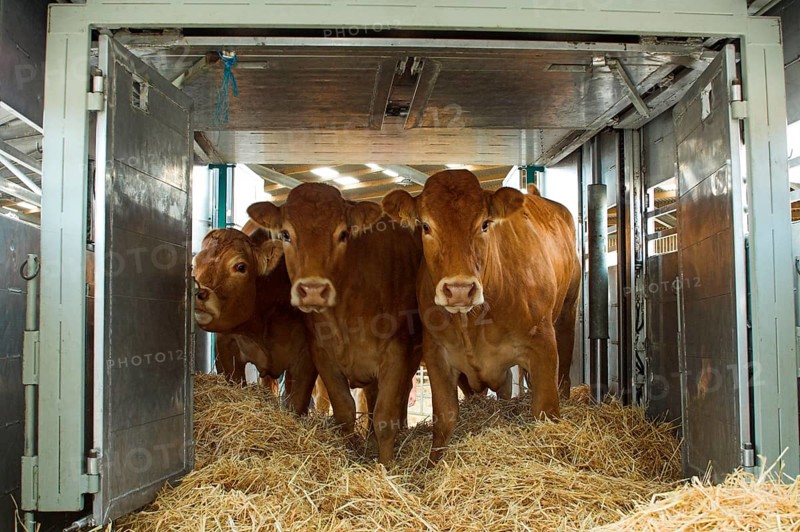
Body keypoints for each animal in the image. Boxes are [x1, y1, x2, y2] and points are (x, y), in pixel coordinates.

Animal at [193, 224, 317, 415]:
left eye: (240, 266)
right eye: (194, 263)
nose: (198, 292)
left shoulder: (305, 361)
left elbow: (296, 404)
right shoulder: (226, 347)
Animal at [248, 183, 422, 465]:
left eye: (343, 234)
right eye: (286, 234)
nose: (313, 289)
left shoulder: (396, 352)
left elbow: (385, 417)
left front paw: (387, 466)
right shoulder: (322, 354)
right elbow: (344, 412)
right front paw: (352, 454)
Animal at [383, 169, 581, 463]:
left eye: (485, 224)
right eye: (425, 226)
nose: (460, 289)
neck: (473, 323)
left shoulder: (542, 344)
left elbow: (546, 409)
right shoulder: (437, 354)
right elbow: (445, 418)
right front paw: (433, 465)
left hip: (567, 312)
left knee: (564, 371)